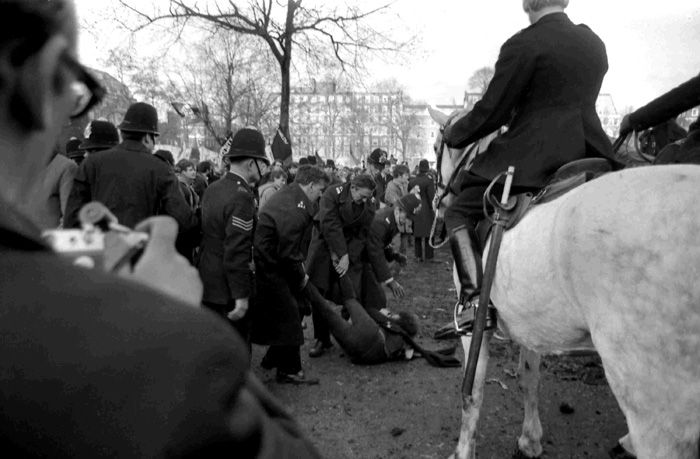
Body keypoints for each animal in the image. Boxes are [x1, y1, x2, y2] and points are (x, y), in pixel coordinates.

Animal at [426, 108, 700, 459]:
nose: (438, 202)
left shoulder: (475, 328)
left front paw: (463, 450)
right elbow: (528, 377)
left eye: (436, 147)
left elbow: (472, 391)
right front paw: (529, 439)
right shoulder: (531, 323)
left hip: (655, 405)